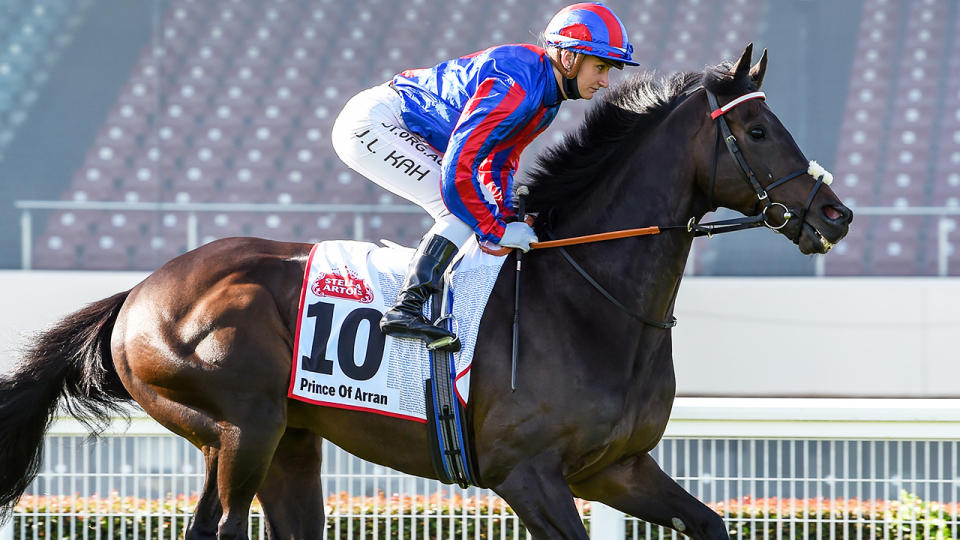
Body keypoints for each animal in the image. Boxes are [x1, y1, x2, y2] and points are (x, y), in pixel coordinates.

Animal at [0, 44, 856, 536]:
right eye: (756, 131)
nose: (836, 215)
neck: (589, 300)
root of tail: (138, 293)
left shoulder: (615, 469)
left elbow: (711, 524)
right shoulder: (528, 476)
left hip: (289, 443)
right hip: (237, 427)